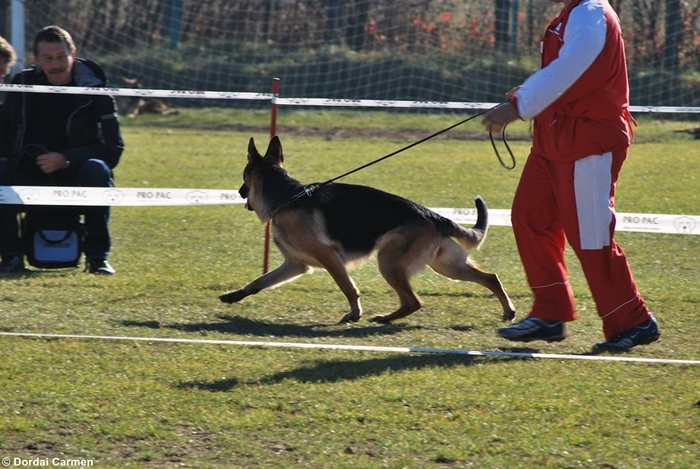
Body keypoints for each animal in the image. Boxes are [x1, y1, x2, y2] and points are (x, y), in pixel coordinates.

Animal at [220, 136, 520, 322]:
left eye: (244, 178)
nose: (239, 192)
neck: (287, 197)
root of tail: (433, 215)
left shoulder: (328, 257)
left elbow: (349, 288)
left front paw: (355, 314)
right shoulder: (296, 264)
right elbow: (258, 282)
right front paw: (234, 296)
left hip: (389, 262)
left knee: (414, 302)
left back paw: (385, 318)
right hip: (446, 266)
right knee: (491, 278)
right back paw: (508, 311)